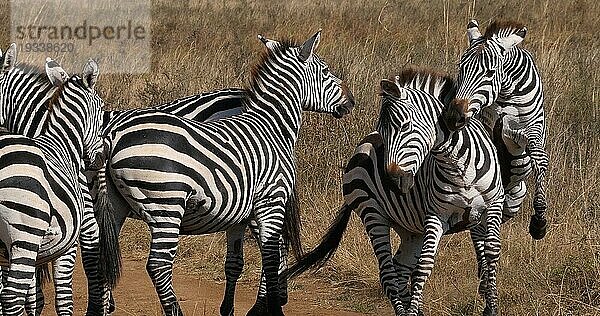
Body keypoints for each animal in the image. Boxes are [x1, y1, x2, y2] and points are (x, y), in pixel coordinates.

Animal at [94, 30, 354, 316]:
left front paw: (234, 308)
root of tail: (112, 136)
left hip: (116, 205)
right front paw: (271, 308)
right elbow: (271, 257)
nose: (351, 101)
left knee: (103, 256)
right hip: (166, 204)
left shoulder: (240, 211)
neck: (271, 126)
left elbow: (237, 261)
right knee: (158, 265)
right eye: (326, 70)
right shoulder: (271, 201)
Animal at [284, 68, 504, 316]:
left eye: (405, 126)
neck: (457, 165)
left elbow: (490, 255)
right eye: (383, 133)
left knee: (400, 269)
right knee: (388, 274)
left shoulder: (492, 208)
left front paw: (491, 307)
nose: (391, 180)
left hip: (410, 229)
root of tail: (360, 147)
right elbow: (424, 266)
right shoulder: (436, 216)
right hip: (373, 214)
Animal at [446, 19, 548, 239]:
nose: (455, 116)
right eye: (461, 68)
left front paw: (539, 222)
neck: (505, 95)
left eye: (490, 73)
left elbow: (540, 160)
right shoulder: (484, 125)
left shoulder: (530, 132)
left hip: (515, 197)